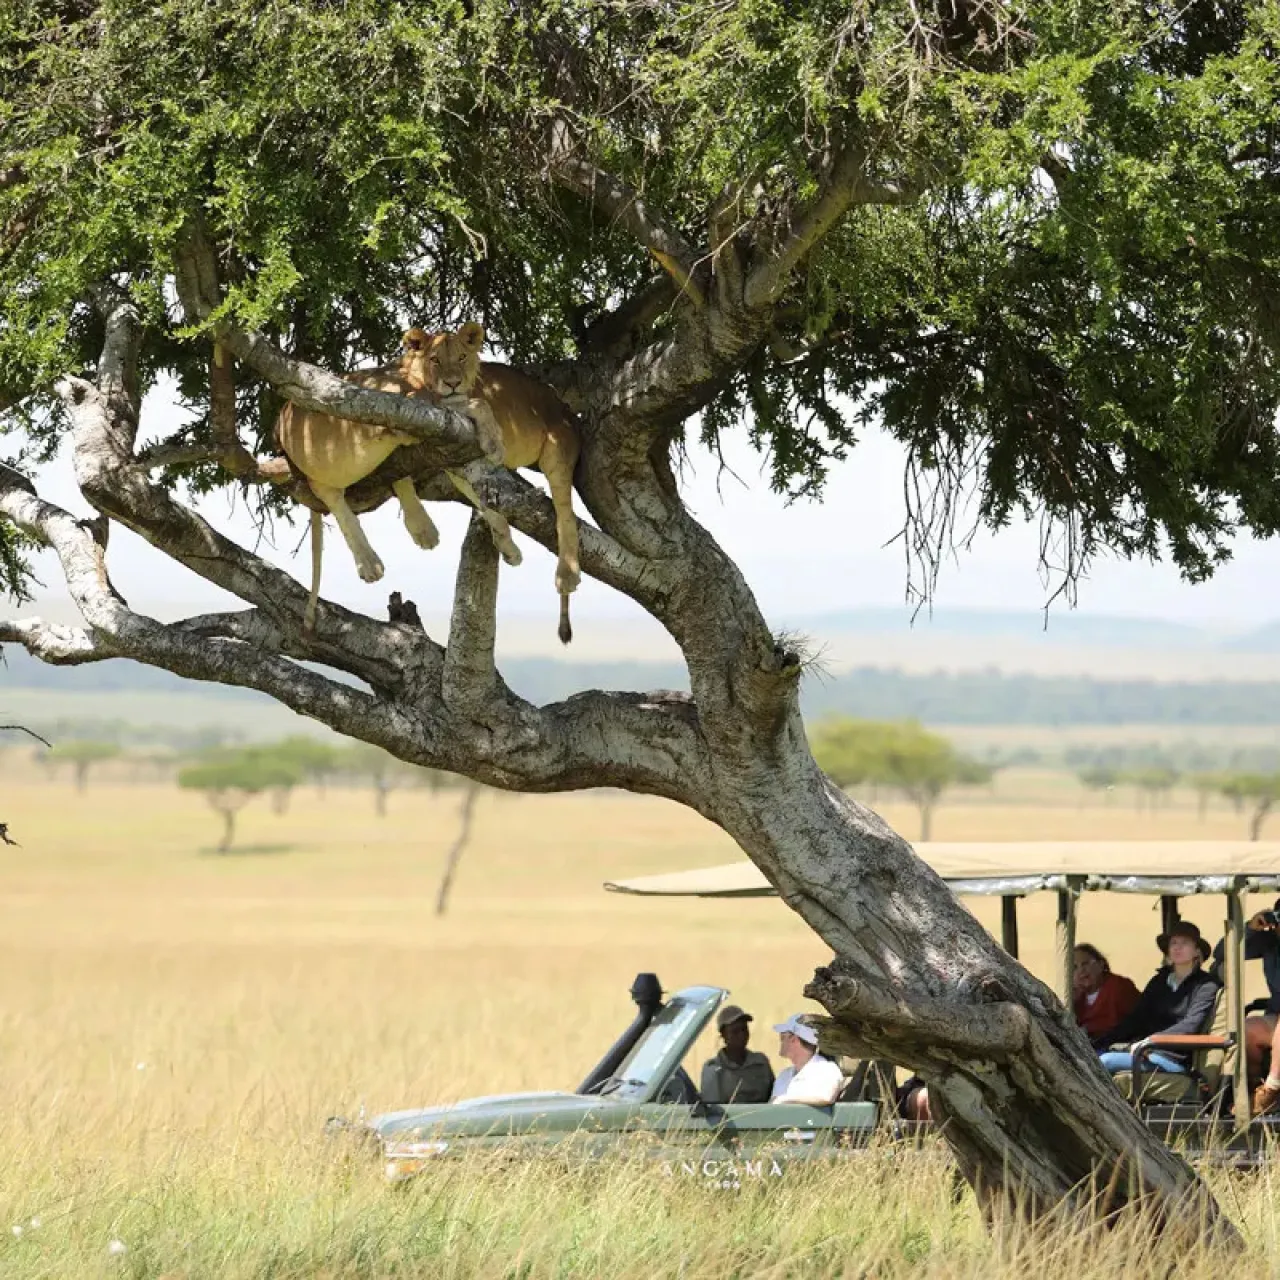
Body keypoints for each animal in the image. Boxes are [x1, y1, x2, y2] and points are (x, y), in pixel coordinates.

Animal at [426, 322, 582, 644]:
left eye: (461, 357)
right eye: (435, 360)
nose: (451, 383)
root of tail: (567, 410)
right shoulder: (455, 463)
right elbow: (484, 503)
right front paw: (507, 546)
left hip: (557, 449)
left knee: (566, 514)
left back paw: (567, 575)